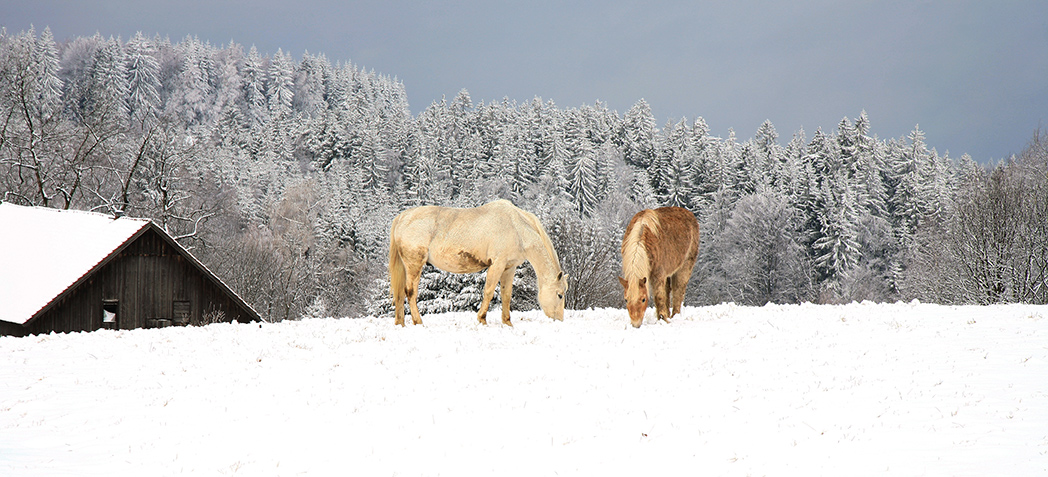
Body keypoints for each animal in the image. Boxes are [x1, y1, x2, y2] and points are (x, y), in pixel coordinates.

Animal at [387, 200, 570, 327]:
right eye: (560, 295)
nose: (560, 320)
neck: (516, 227)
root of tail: (402, 217)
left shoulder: (509, 268)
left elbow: (506, 295)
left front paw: (507, 322)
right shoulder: (497, 264)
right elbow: (488, 291)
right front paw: (482, 319)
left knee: (400, 293)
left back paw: (401, 323)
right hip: (414, 264)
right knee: (410, 292)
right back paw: (418, 322)